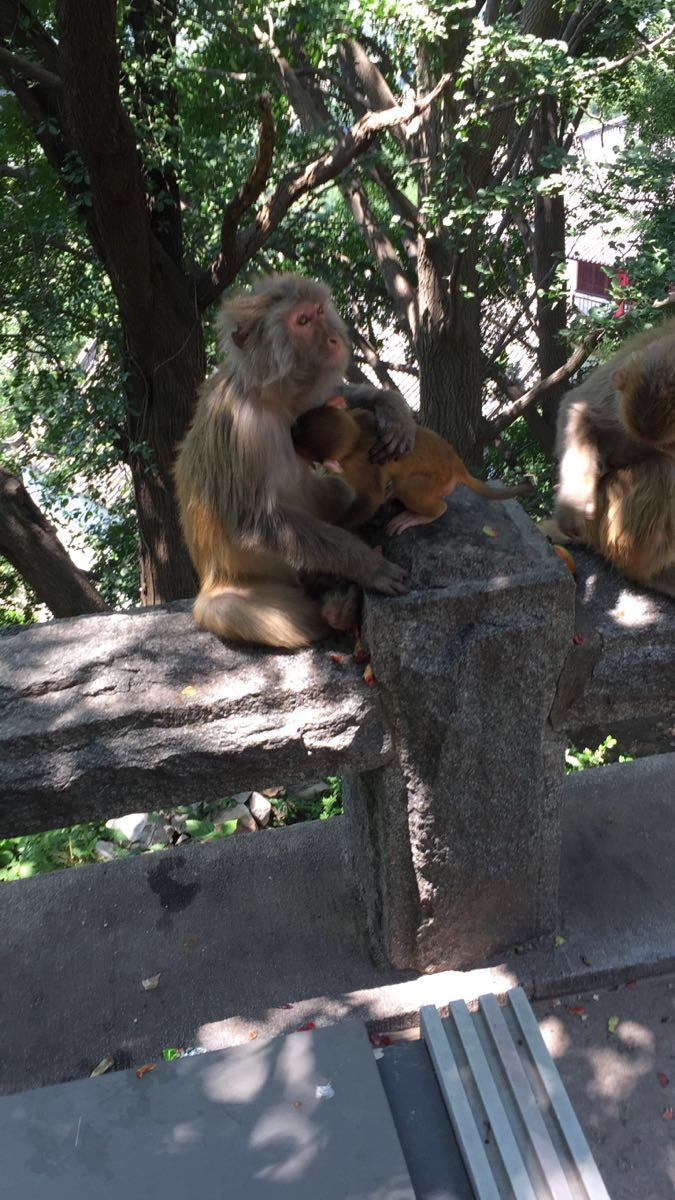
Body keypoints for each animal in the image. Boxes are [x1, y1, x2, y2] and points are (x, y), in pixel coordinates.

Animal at [171, 274, 415, 648]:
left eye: (318, 312)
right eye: (301, 321)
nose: (333, 337)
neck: (270, 396)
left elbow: (334, 398)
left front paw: (391, 409)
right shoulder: (242, 427)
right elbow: (253, 520)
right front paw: (367, 564)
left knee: (333, 490)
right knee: (231, 608)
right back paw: (333, 608)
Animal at [291, 400, 528, 537]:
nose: (291, 429)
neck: (356, 437)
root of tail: (457, 465)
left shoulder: (359, 466)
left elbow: (371, 499)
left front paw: (333, 526)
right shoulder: (358, 415)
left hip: (441, 481)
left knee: (410, 487)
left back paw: (429, 512)